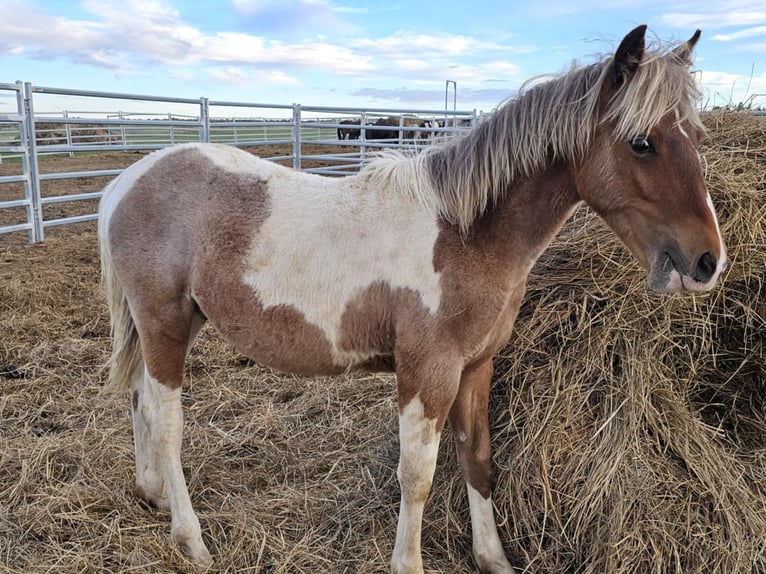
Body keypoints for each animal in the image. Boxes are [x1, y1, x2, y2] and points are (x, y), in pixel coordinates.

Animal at [97, 25, 728, 574]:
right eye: (642, 143)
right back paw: (190, 538)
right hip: (164, 323)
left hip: (176, 324)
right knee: (165, 420)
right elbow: (417, 475)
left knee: (139, 400)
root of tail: (123, 185)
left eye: (698, 138)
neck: (466, 234)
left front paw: (493, 557)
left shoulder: (476, 366)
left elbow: (478, 458)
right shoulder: (429, 371)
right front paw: (410, 563)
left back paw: (152, 493)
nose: (707, 261)